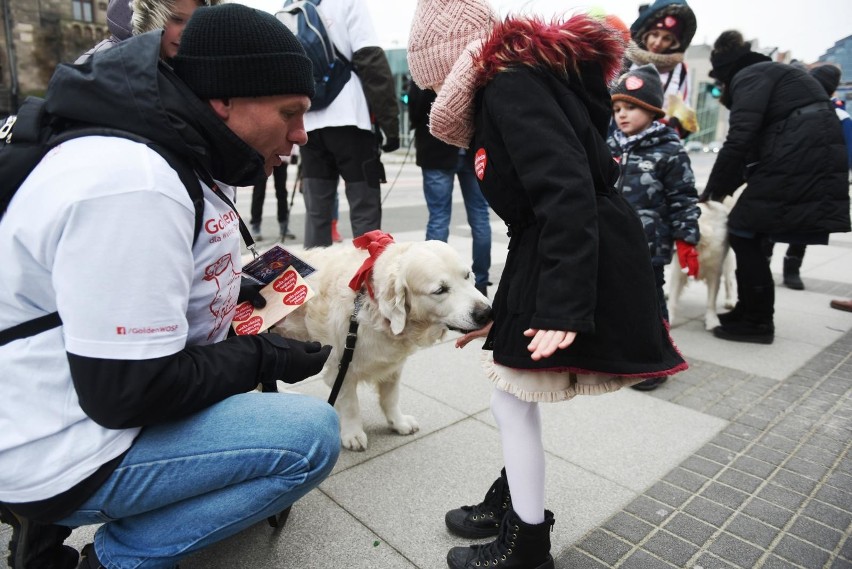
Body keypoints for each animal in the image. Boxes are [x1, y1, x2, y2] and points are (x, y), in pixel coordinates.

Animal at [270, 237, 490, 450]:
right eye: (440, 290)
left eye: (467, 275)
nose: (487, 312)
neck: (372, 309)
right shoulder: (340, 368)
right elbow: (350, 405)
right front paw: (353, 434)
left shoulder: (393, 366)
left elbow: (391, 398)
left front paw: (398, 423)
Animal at [668, 202, 736, 330]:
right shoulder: (679, 272)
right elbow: (673, 298)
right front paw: (667, 318)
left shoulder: (715, 273)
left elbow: (711, 301)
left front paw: (712, 320)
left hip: (728, 262)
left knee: (729, 280)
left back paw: (730, 300)